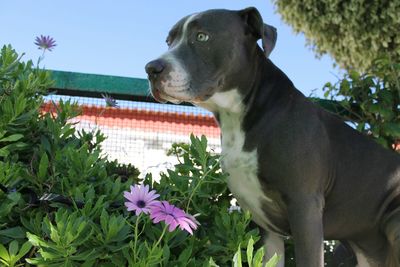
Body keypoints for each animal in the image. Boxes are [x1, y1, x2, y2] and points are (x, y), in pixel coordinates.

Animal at [145, 6, 400, 267]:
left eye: (202, 36)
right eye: (169, 41)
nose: (151, 69)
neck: (239, 116)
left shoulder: (305, 208)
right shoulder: (266, 227)